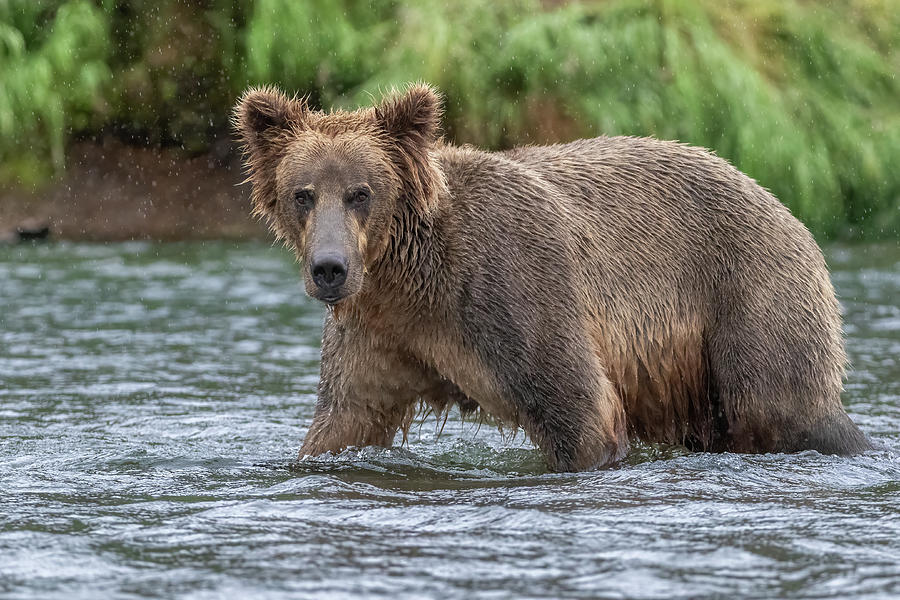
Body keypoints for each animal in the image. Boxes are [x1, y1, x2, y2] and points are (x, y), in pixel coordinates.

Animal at [234, 82, 872, 472]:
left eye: (361, 193)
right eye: (303, 193)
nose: (329, 269)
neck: (411, 279)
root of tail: (784, 206)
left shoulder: (510, 287)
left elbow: (580, 407)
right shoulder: (380, 333)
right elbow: (345, 421)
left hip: (748, 293)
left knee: (786, 404)